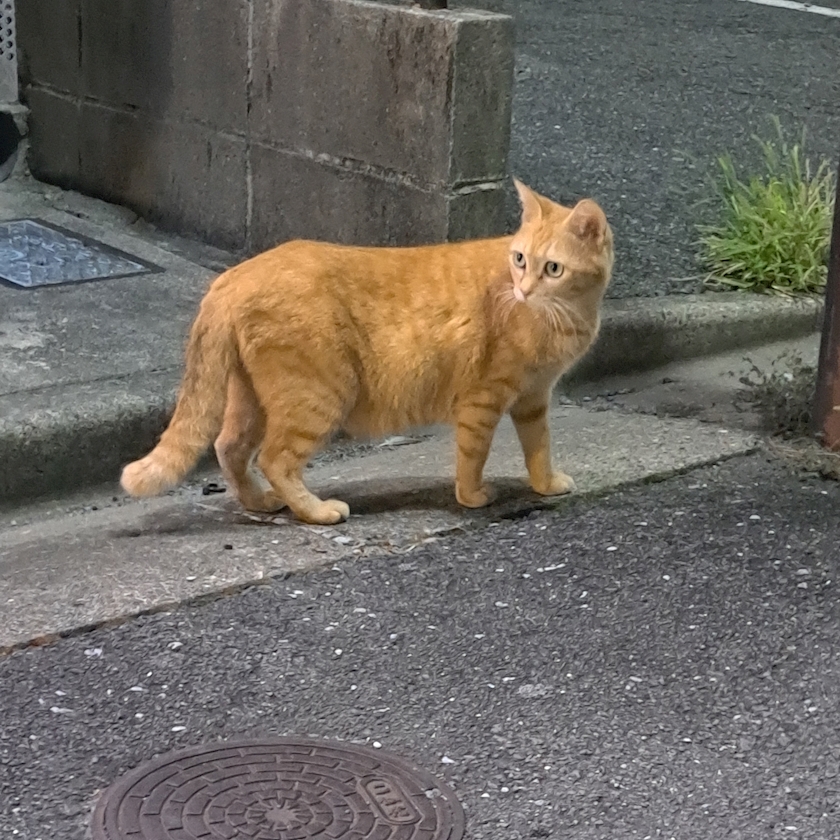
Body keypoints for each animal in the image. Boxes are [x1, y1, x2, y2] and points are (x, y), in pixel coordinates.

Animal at [120, 179, 614, 525]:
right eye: (519, 259)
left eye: (552, 268)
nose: (523, 290)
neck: (567, 315)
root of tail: (234, 275)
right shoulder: (485, 399)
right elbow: (474, 456)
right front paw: (472, 498)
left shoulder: (533, 399)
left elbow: (539, 446)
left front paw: (545, 485)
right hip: (318, 398)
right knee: (275, 459)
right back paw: (316, 511)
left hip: (253, 400)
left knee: (229, 448)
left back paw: (260, 502)